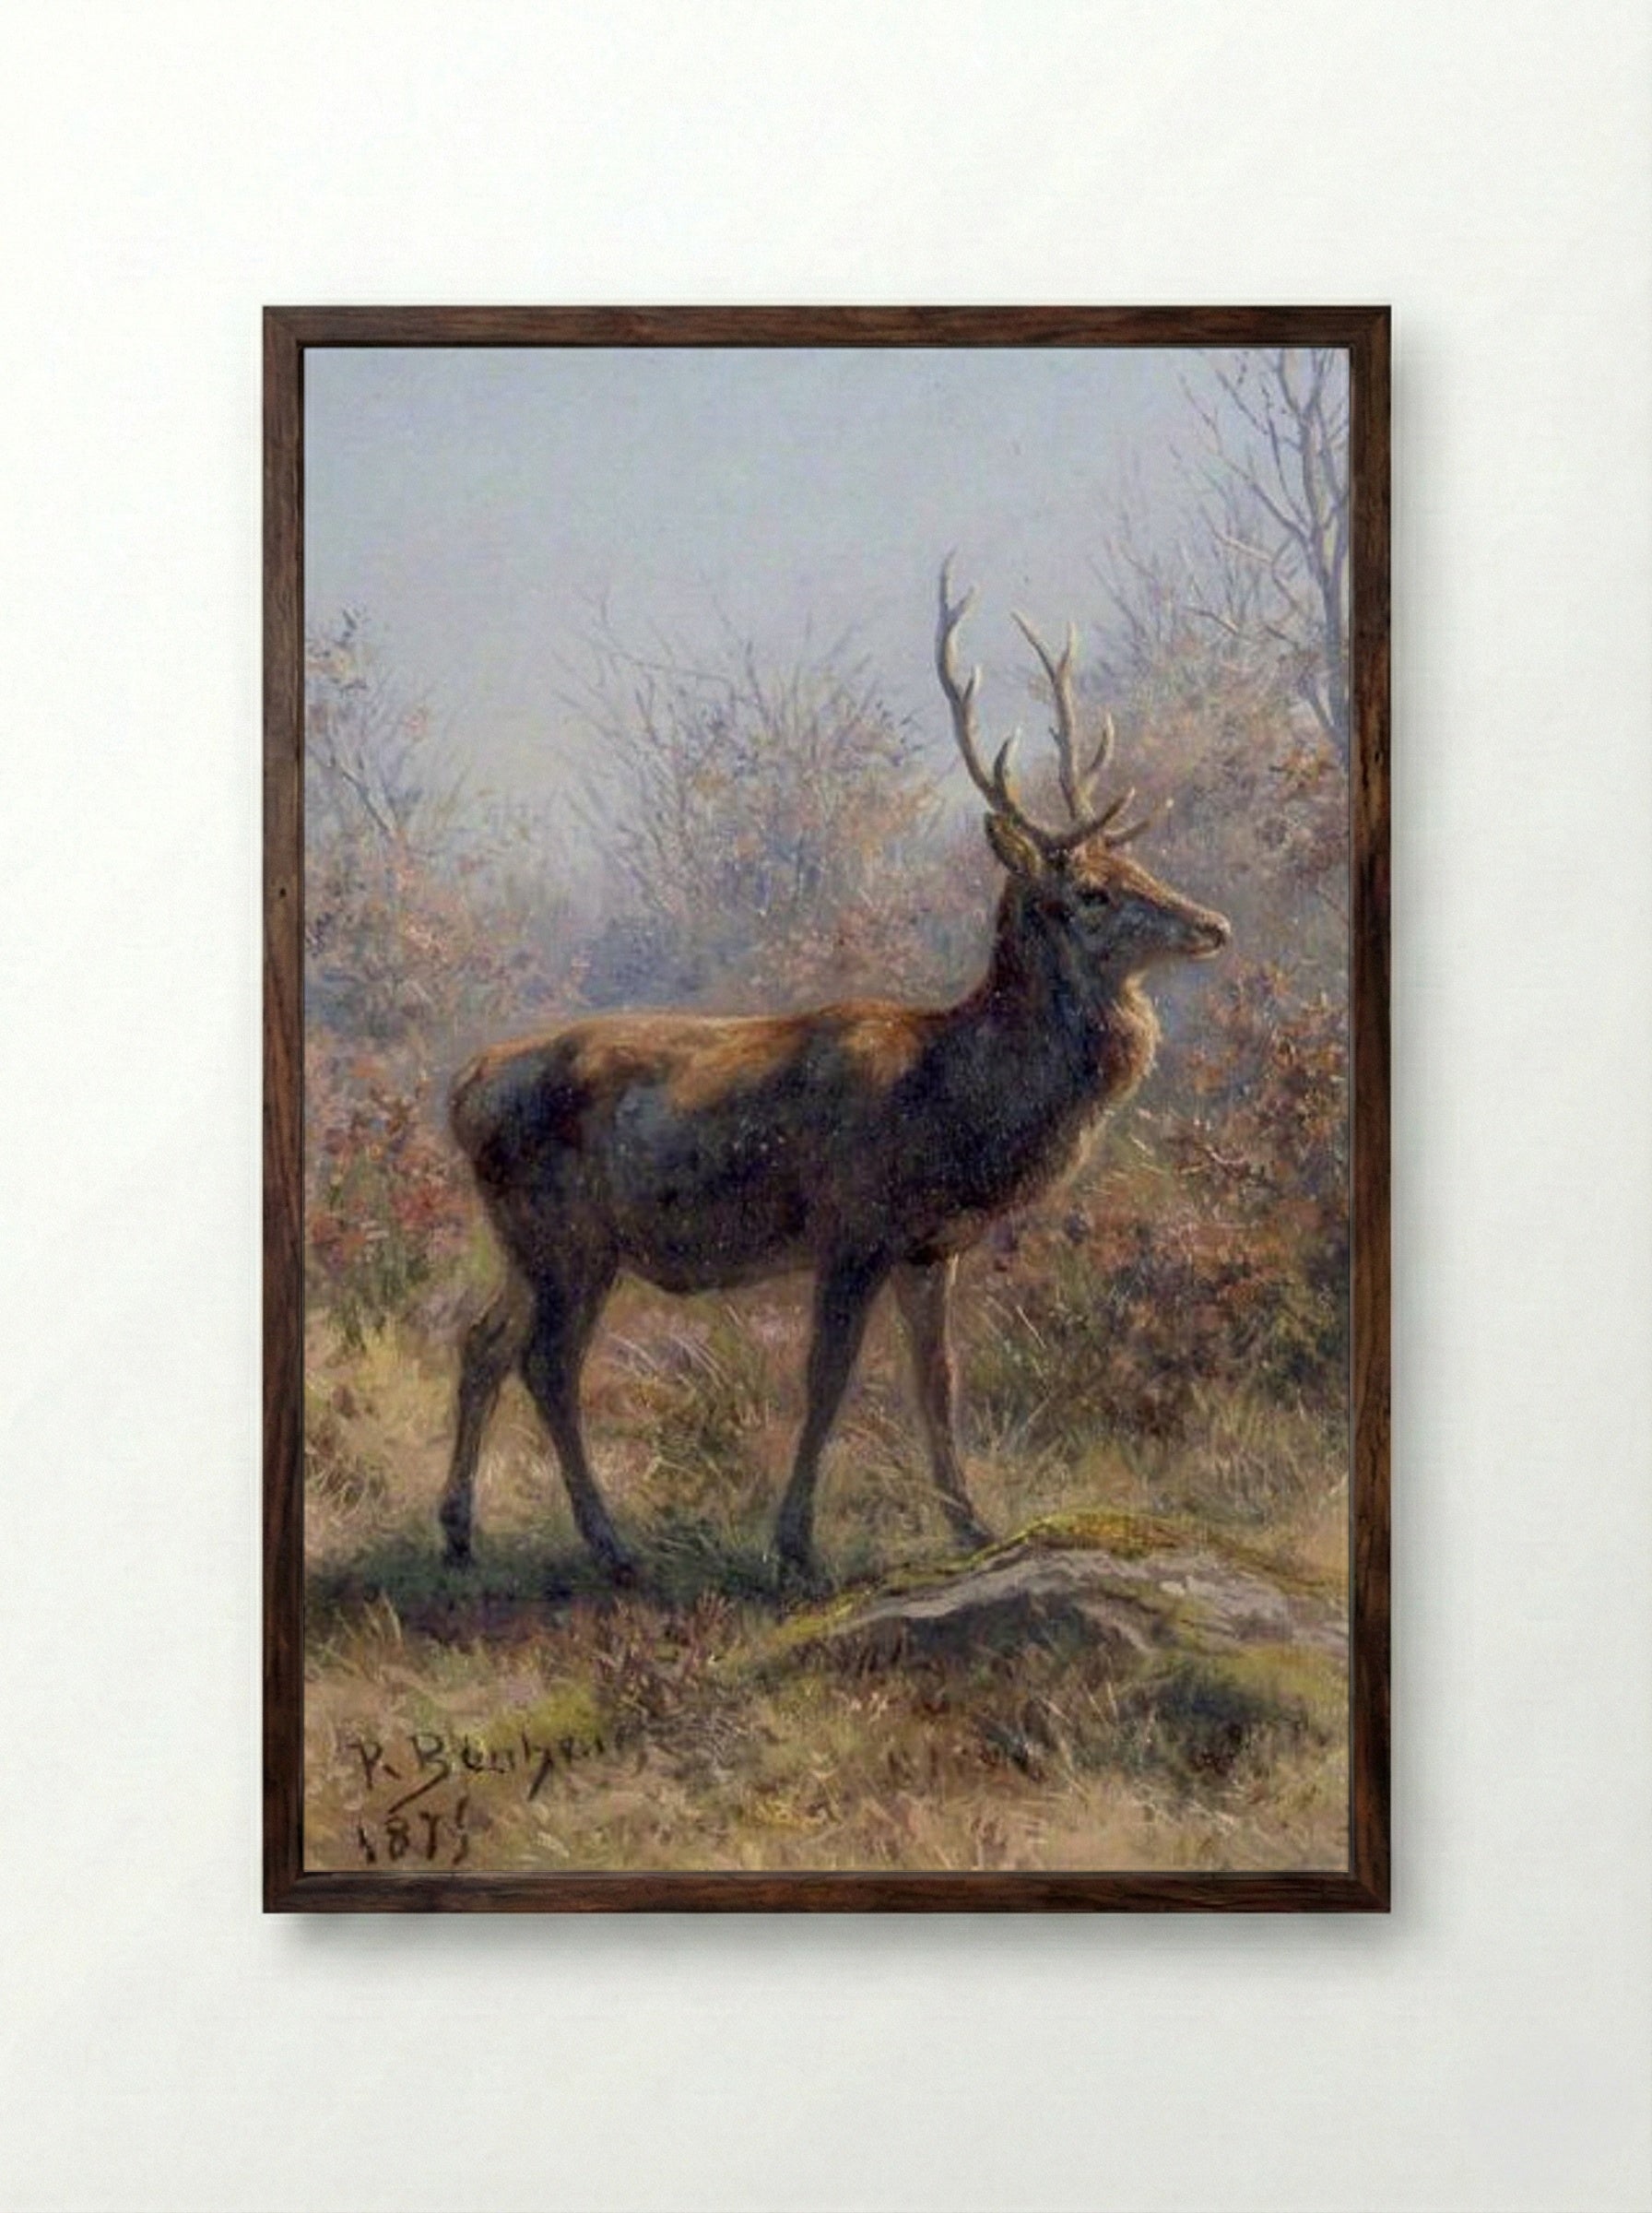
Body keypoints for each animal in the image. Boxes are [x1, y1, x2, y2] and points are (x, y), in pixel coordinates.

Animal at [439, 564, 1230, 1586]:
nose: (1213, 925)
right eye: (1091, 892)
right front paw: (794, 1546)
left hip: (526, 1242)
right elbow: (827, 1381)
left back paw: (460, 1531)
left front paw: (971, 1526)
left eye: (1138, 865)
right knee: (547, 1364)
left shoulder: (933, 1246)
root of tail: (466, 1088)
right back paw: (611, 1546)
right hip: (569, 1236)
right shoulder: (853, 1226)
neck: (959, 1103)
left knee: (481, 1341)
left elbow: (938, 1382)